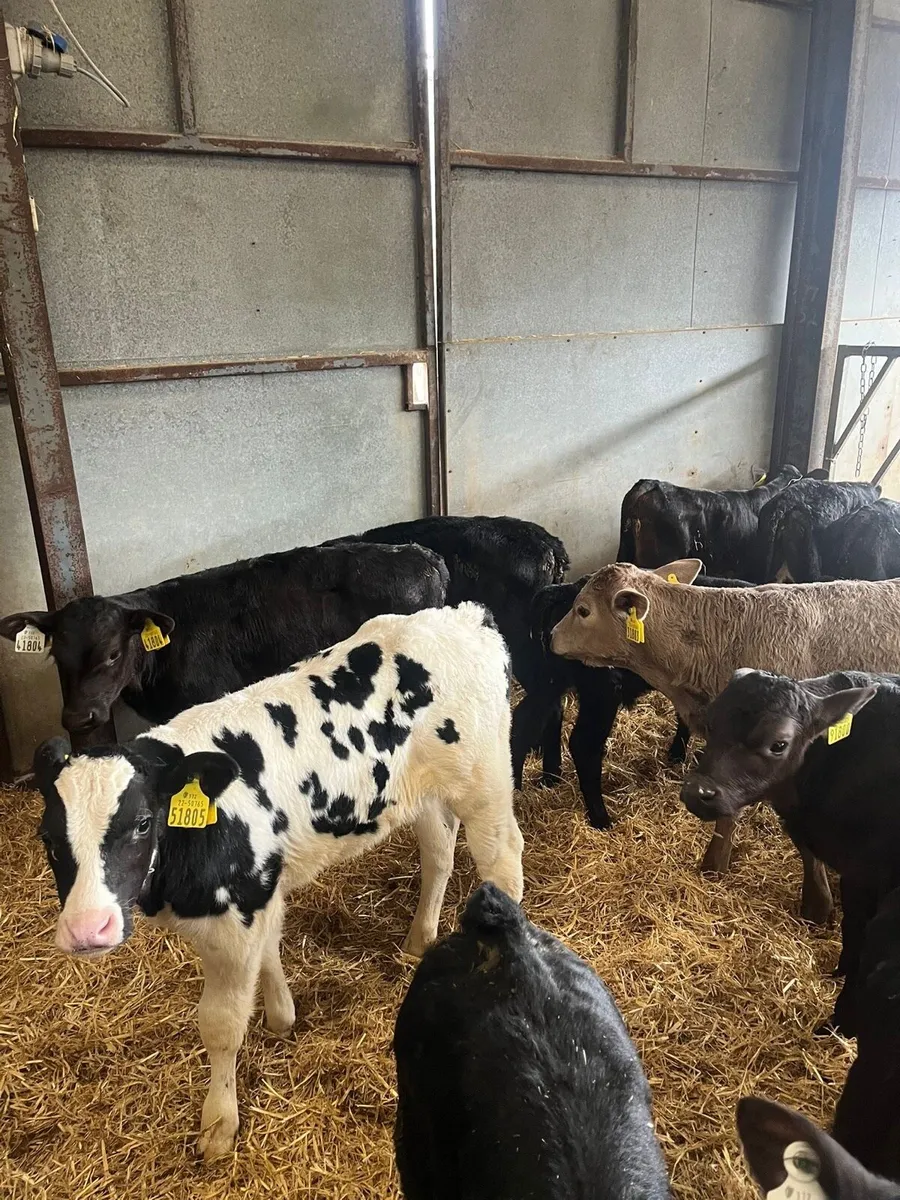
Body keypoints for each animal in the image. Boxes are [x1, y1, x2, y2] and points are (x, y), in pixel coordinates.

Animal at [32, 603, 524, 1162]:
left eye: (140, 823)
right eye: (47, 837)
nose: (86, 928)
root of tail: (464, 616)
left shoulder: (236, 916)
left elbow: (221, 1024)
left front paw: (218, 1123)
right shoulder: (260, 893)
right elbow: (269, 952)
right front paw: (282, 1017)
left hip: (486, 783)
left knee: (504, 860)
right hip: (418, 795)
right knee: (439, 850)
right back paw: (419, 939)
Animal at [510, 573, 753, 830]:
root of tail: (567, 589)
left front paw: (677, 755)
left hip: (550, 680)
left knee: (528, 720)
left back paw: (524, 786)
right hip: (600, 691)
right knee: (583, 744)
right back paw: (601, 819)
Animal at [679, 668, 900, 1036]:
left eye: (778, 744)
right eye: (710, 724)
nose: (698, 793)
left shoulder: (864, 876)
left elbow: (858, 939)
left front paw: (839, 1022)